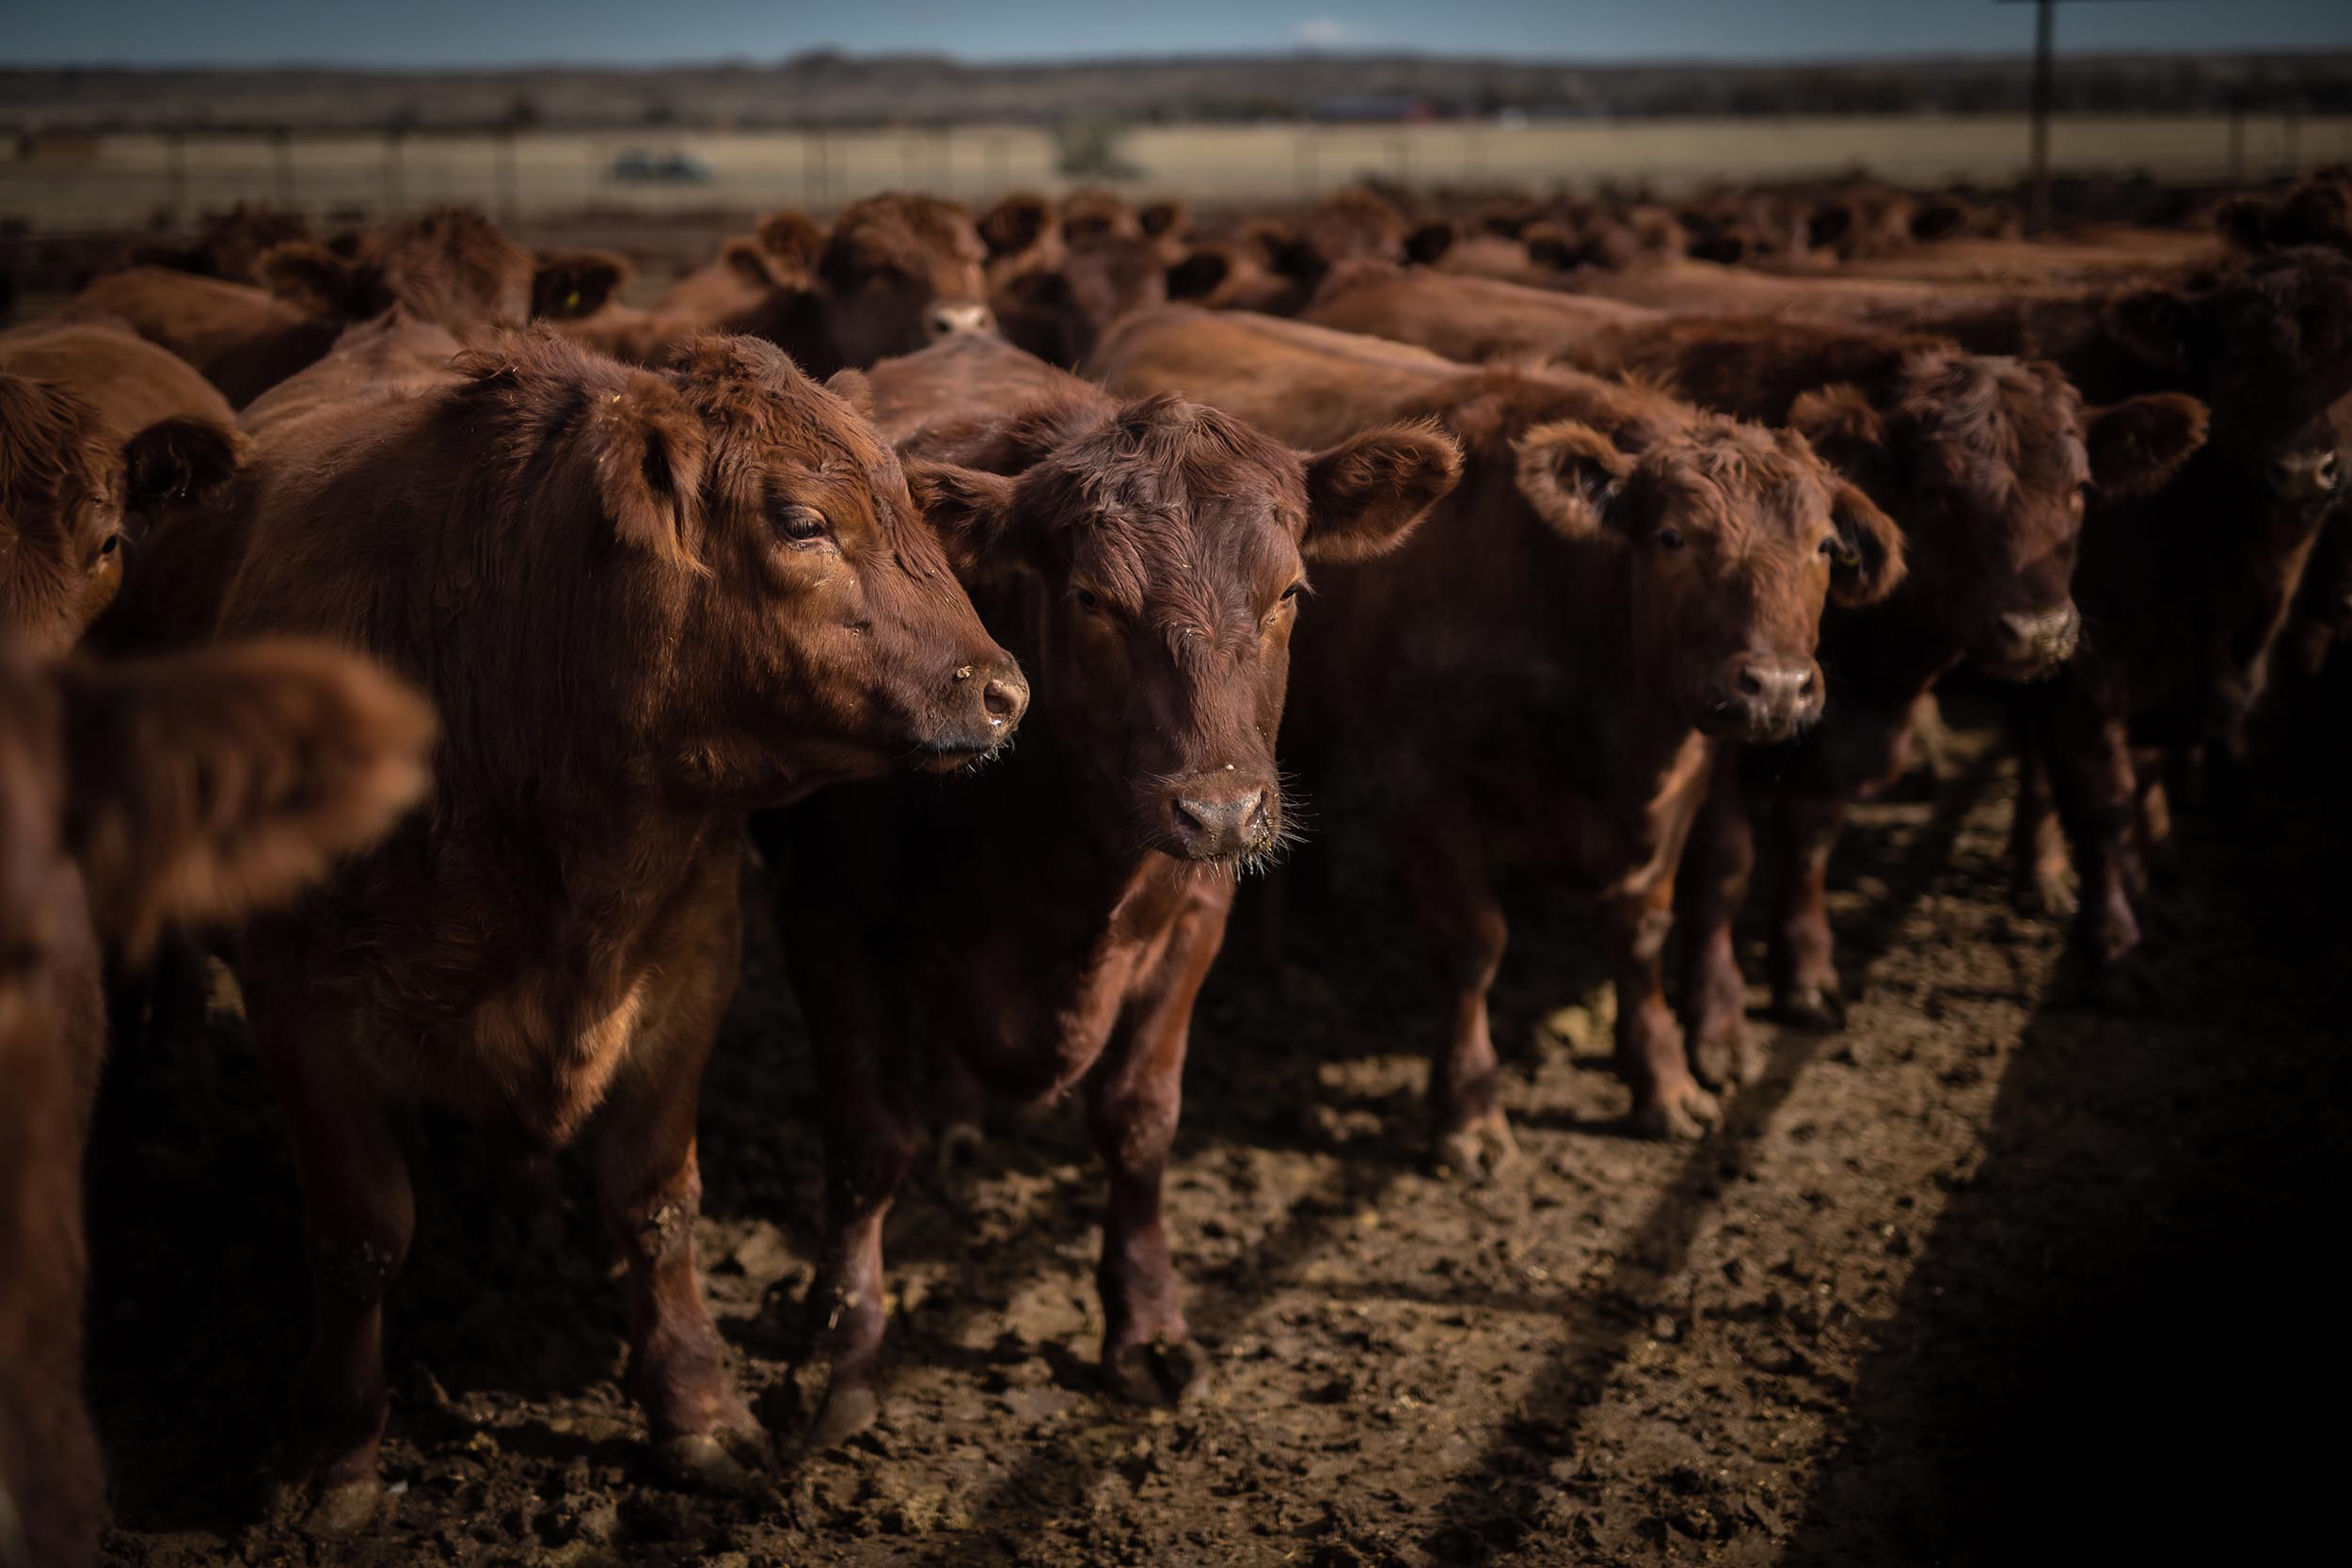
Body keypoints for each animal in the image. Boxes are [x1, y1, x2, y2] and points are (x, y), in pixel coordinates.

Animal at [179, 328, 1025, 1523]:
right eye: (801, 521)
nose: (1002, 691)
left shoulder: (687, 969)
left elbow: (656, 1202)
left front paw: (697, 1408)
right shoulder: (297, 1001)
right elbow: (358, 1235)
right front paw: (331, 1449)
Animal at [771, 331, 1449, 1448]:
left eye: (1290, 594)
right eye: (1092, 599)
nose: (1220, 810)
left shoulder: (1195, 922)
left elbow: (1138, 1120)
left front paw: (1146, 1326)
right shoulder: (828, 913)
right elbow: (865, 1145)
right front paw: (838, 1347)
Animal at [1091, 312, 1900, 1161]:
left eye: (1823, 545)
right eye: (1674, 538)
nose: (1775, 685)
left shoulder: (1683, 779)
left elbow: (1640, 932)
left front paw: (1665, 1081)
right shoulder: (1421, 791)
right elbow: (1472, 945)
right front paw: (1470, 1110)